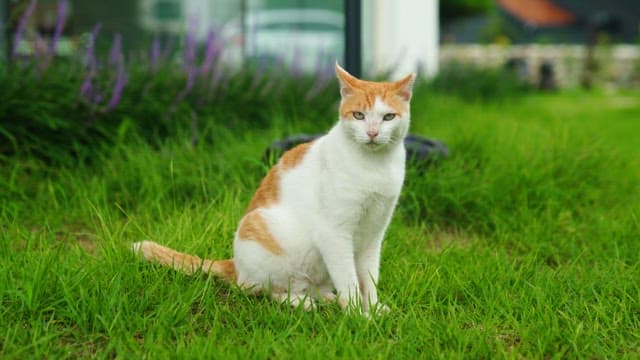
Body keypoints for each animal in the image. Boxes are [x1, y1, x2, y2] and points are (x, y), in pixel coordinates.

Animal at [132, 64, 418, 316]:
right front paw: (359, 316)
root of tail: (235, 265)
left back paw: (324, 297)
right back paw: (301, 302)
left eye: (388, 117)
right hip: (263, 233)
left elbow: (368, 278)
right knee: (259, 289)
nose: (372, 133)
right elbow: (348, 278)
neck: (375, 166)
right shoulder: (335, 234)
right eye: (359, 115)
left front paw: (373, 308)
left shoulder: (374, 234)